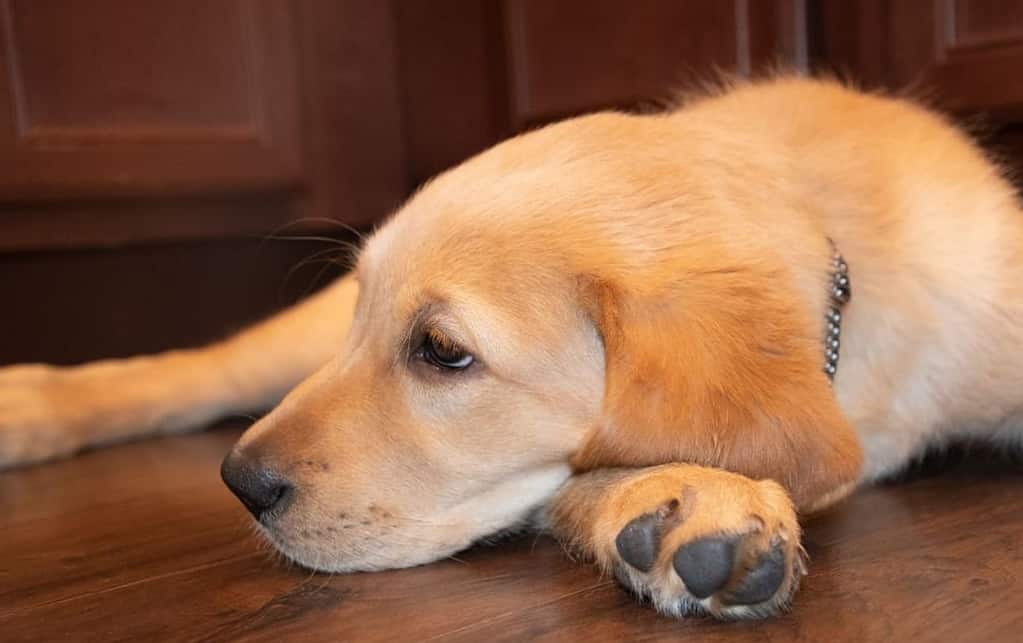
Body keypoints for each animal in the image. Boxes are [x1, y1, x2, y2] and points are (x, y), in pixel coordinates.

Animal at [1, 75, 1023, 617]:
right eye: (400, 332)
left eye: (442, 351)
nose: (240, 484)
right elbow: (584, 471)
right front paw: (677, 499)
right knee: (196, 371)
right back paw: (29, 405)